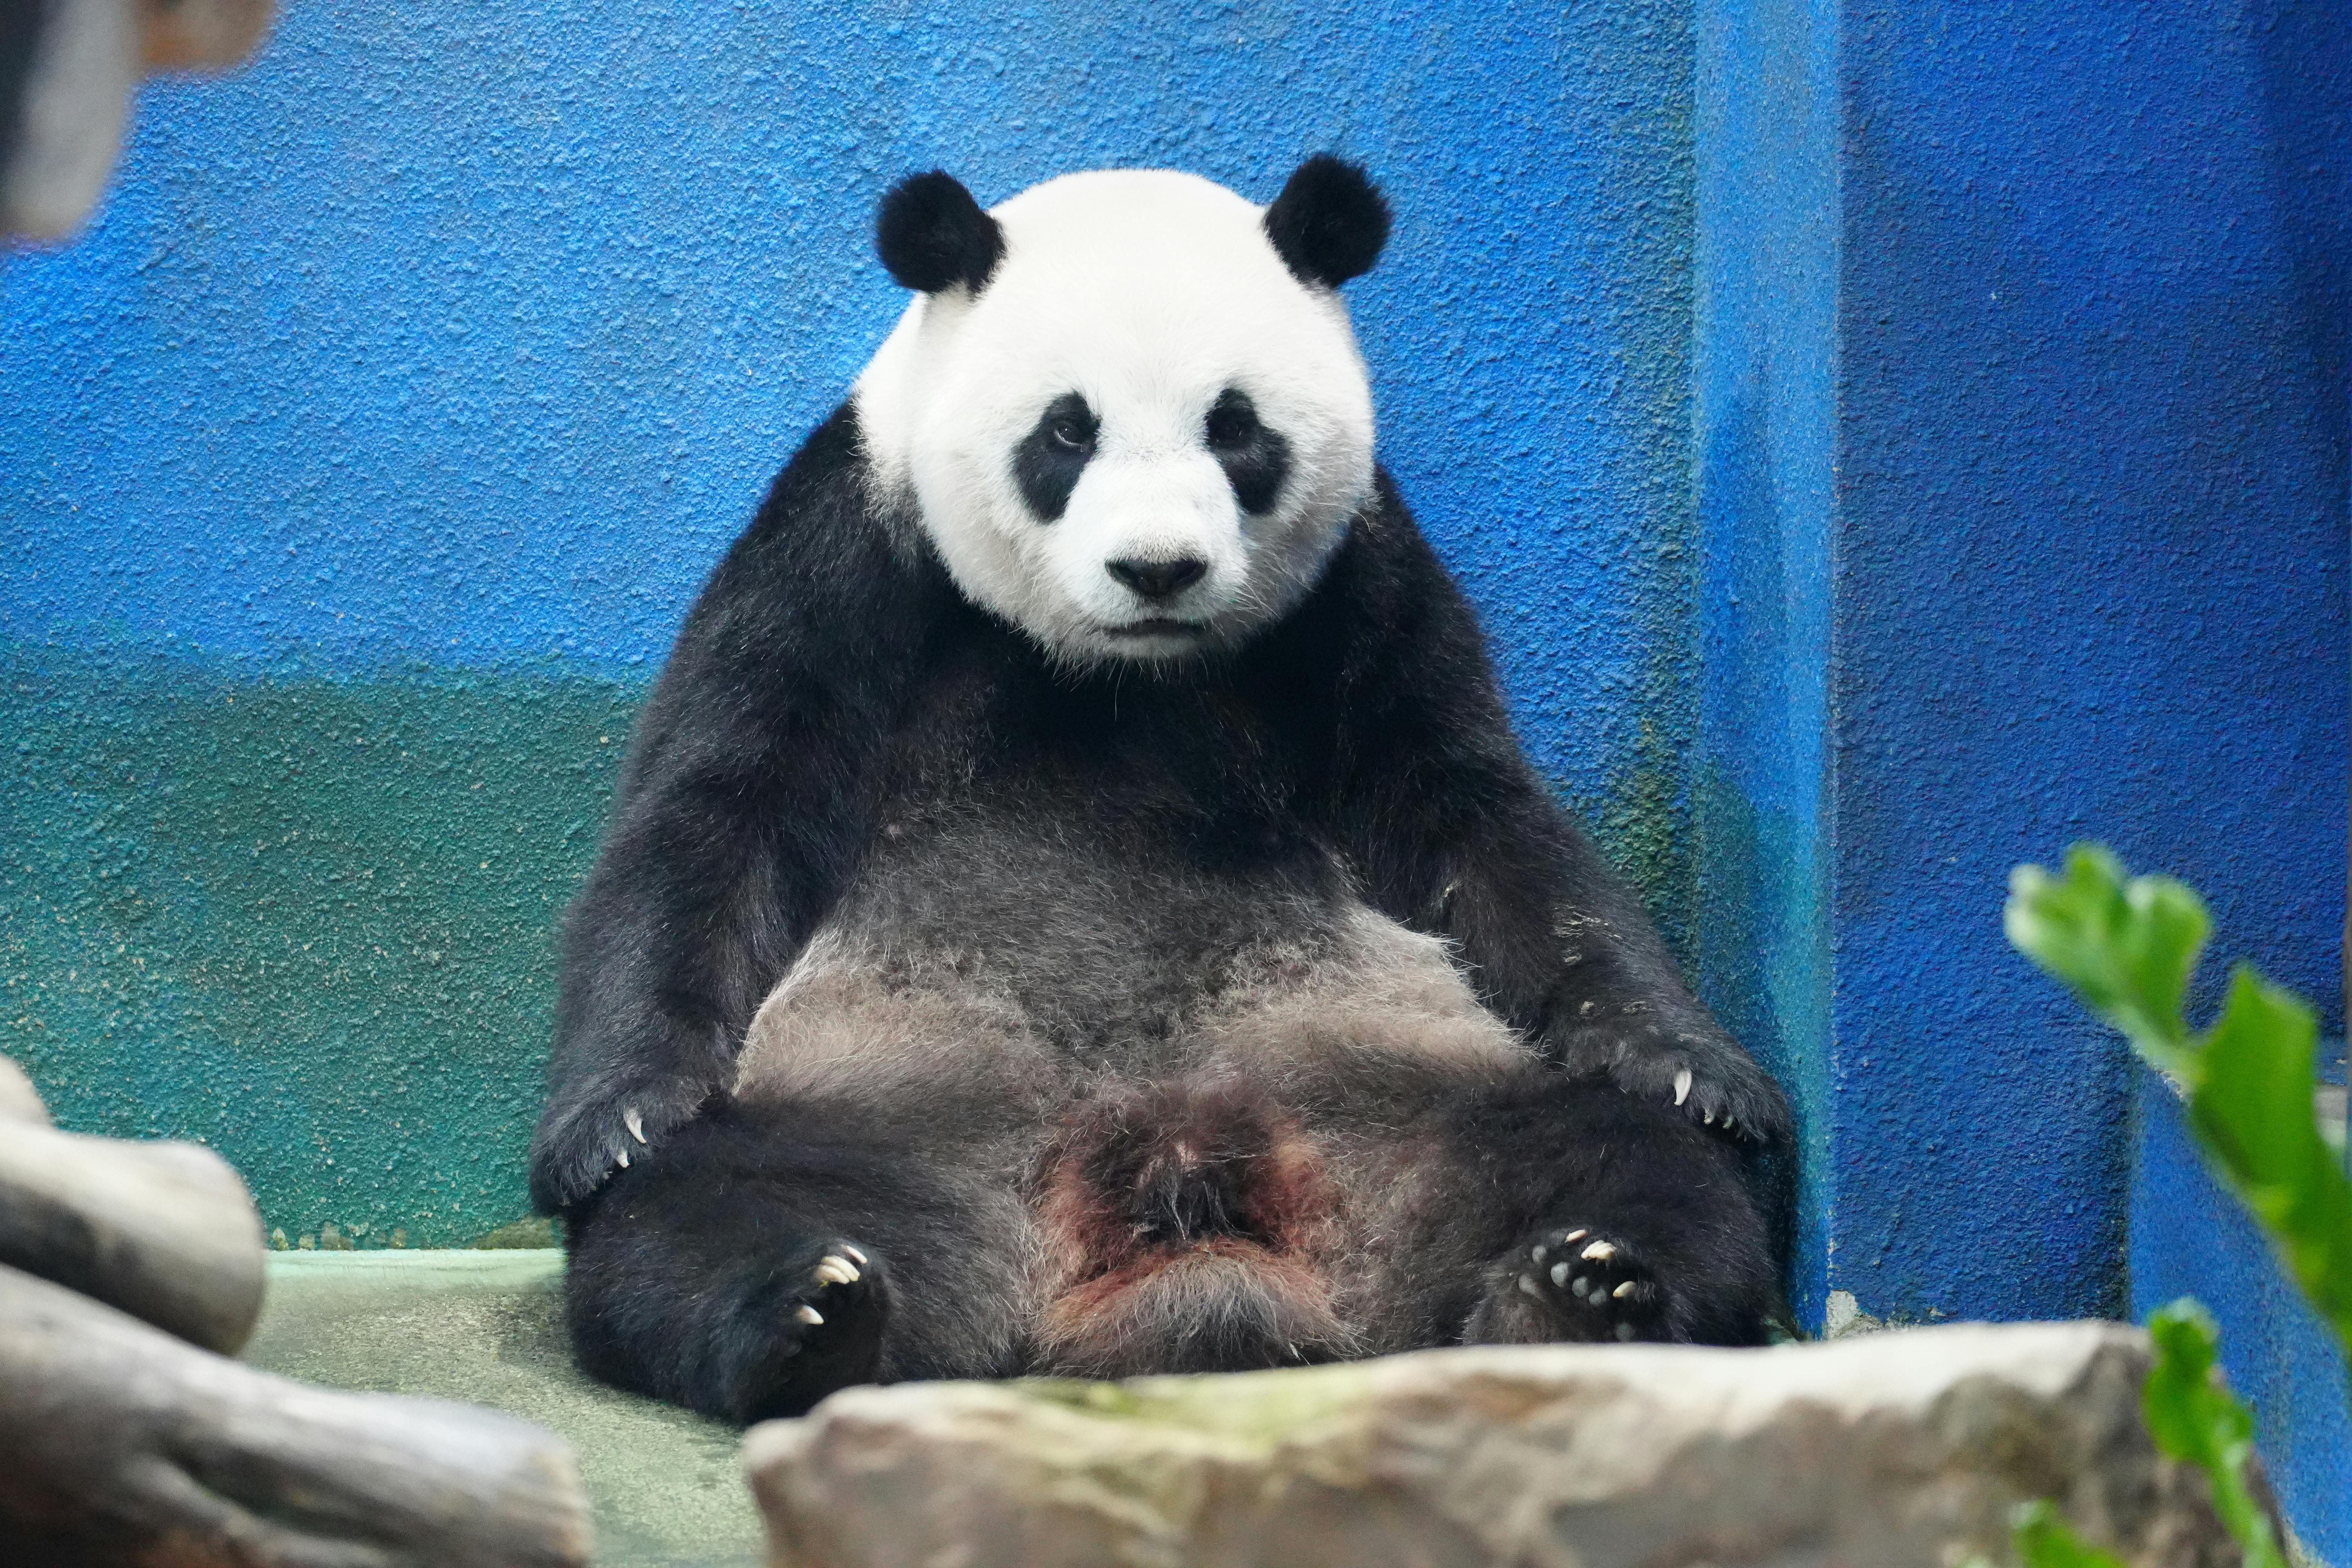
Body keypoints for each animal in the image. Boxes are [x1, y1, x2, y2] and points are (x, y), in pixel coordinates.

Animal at [529, 157, 1789, 1424]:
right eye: (1066, 429)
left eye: (1235, 430)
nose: (1157, 569)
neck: (1120, 673)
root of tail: (1181, 1209)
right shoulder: (845, 553)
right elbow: (718, 809)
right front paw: (618, 1119)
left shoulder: (1363, 585)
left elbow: (1477, 816)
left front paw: (1694, 1069)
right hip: (892, 1104)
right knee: (698, 1214)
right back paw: (811, 1313)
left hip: (1412, 1089)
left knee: (1633, 1171)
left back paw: (1582, 1290)